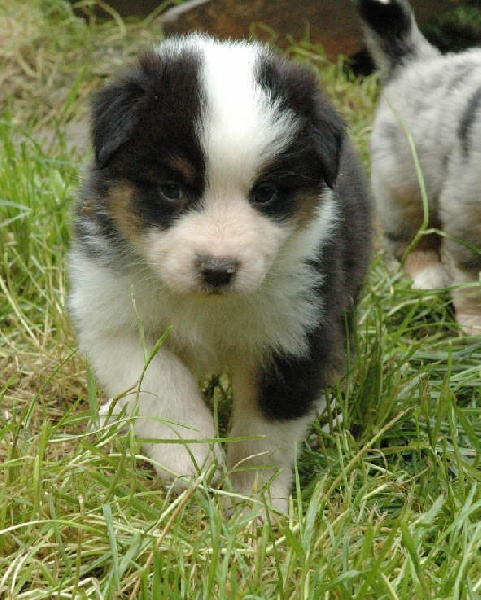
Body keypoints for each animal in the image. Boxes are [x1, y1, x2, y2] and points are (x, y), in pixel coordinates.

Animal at [68, 34, 372, 510]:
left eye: (265, 193)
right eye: (171, 189)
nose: (217, 269)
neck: (203, 305)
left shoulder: (296, 330)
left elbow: (265, 434)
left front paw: (254, 505)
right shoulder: (114, 312)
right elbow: (159, 382)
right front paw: (188, 454)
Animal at [354, 0, 480, 336]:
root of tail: (416, 62)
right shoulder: (466, 215)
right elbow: (471, 279)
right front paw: (475, 329)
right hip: (403, 192)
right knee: (412, 245)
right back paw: (428, 284)